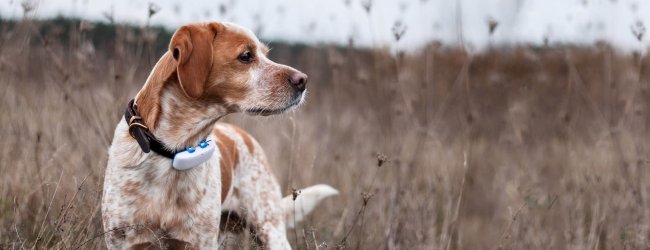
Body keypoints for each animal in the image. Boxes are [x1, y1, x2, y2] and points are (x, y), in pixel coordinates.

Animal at [102, 22, 336, 250]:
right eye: (246, 55)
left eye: (266, 54)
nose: (303, 80)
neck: (173, 152)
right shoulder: (126, 241)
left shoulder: (200, 242)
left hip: (270, 229)